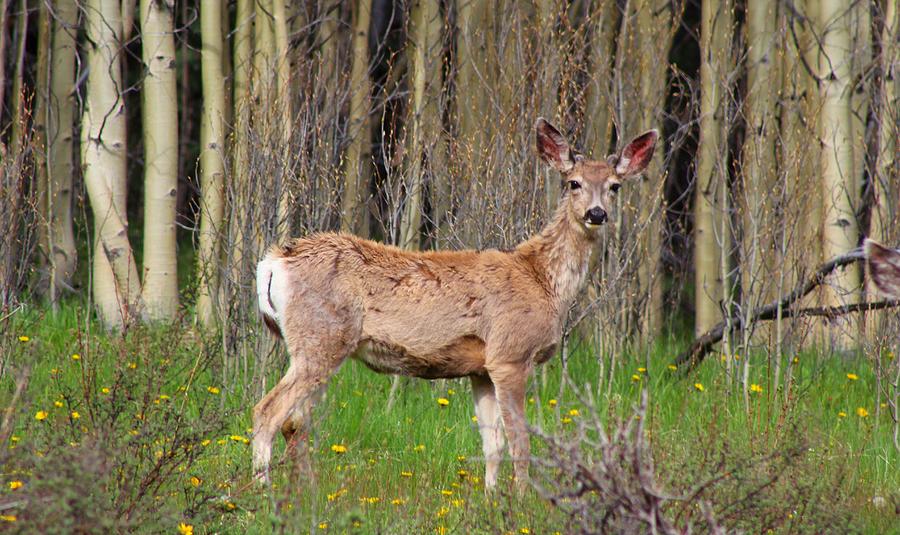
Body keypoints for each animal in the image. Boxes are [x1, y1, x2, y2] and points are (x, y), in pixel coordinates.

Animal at [253, 117, 660, 490]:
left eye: (615, 186)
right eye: (573, 183)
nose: (596, 213)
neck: (543, 281)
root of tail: (274, 261)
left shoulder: (481, 368)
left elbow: (493, 445)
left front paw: (492, 499)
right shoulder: (511, 353)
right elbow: (521, 442)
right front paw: (523, 501)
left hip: (323, 344)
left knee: (295, 422)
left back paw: (306, 494)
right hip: (321, 337)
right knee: (267, 412)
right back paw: (263, 491)